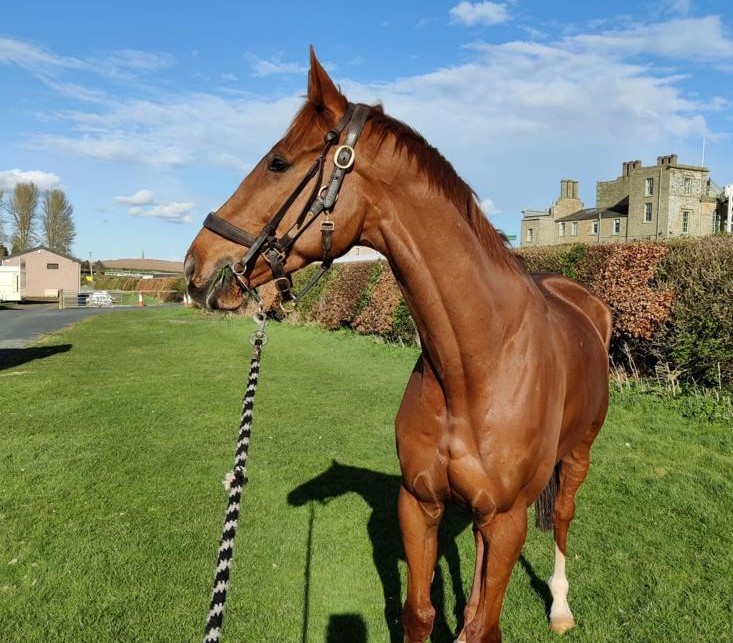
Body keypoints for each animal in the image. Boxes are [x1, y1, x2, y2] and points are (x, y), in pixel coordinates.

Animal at [184, 47, 612, 640]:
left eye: (277, 163)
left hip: (576, 457)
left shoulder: (508, 520)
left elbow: (484, 626)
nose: (195, 266)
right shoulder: (420, 504)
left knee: (564, 518)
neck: (477, 365)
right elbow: (423, 612)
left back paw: (561, 606)